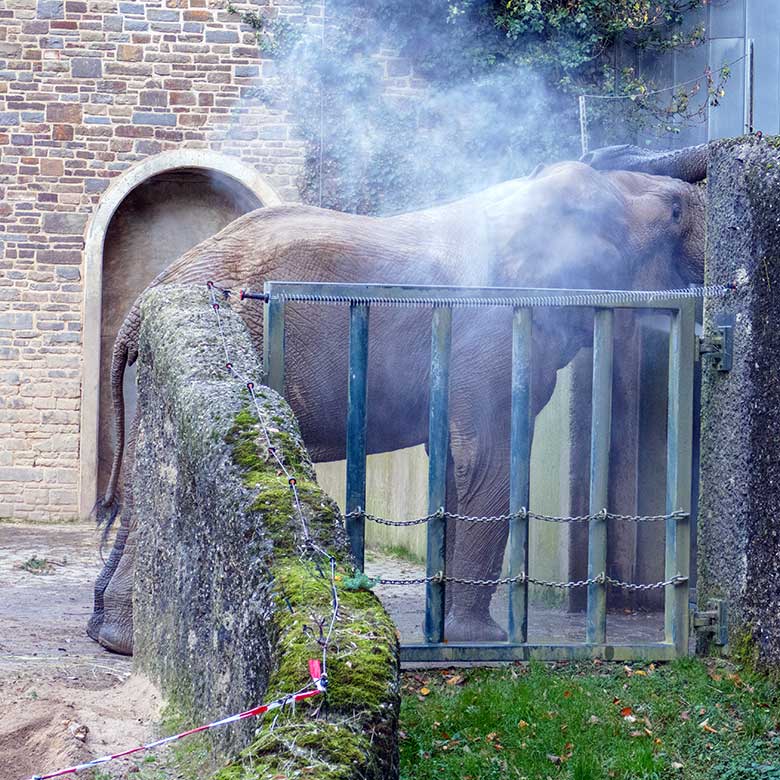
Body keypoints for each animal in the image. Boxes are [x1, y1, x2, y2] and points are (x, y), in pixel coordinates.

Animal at [88, 143, 708, 656]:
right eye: (677, 213)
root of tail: (156, 288)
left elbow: (458, 467)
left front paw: (451, 636)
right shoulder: (490, 335)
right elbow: (490, 461)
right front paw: (485, 642)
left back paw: (109, 635)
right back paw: (132, 642)